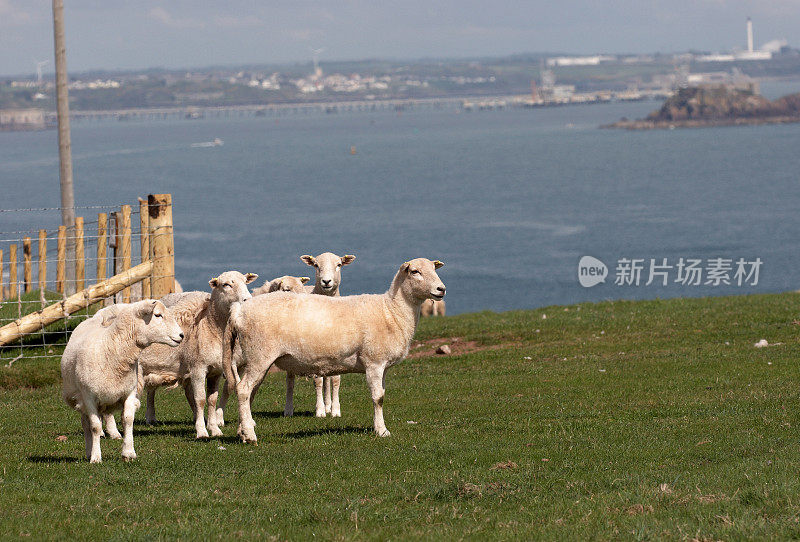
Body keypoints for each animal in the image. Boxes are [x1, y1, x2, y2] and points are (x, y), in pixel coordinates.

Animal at [60, 300, 184, 466]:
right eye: (158, 315)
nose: (181, 335)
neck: (111, 349)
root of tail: (95, 318)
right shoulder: (88, 397)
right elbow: (95, 427)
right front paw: (96, 457)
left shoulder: (129, 392)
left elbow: (128, 420)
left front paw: (129, 452)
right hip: (80, 398)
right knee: (86, 424)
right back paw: (89, 452)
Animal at [139, 270, 258, 440]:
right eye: (226, 285)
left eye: (245, 282)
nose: (247, 299)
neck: (209, 327)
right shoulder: (198, 369)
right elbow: (200, 399)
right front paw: (202, 431)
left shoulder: (216, 371)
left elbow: (212, 399)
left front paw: (214, 429)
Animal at [223, 260, 444, 446]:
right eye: (415, 271)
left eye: (435, 268)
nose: (441, 289)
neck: (392, 311)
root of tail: (239, 311)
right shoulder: (374, 362)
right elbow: (378, 398)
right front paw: (382, 431)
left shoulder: (384, 366)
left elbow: (381, 395)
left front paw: (378, 427)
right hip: (260, 355)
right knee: (243, 390)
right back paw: (250, 436)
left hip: (257, 359)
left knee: (249, 393)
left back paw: (243, 432)